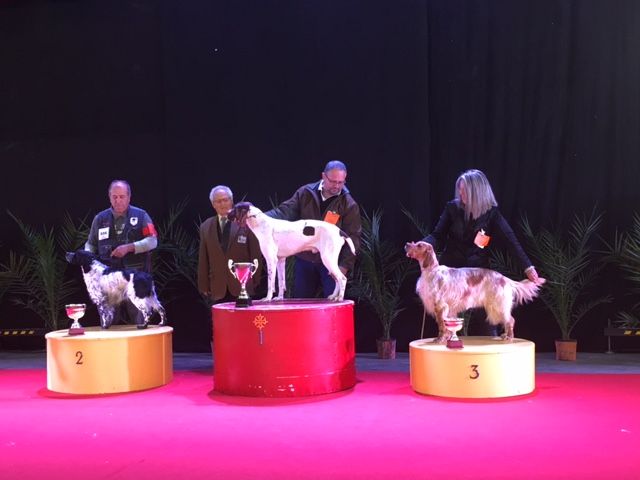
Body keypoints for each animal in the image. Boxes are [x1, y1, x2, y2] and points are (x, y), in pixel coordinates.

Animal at [228, 202, 356, 300]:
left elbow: (270, 283)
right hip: (330, 262)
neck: (261, 223)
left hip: (327, 260)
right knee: (337, 280)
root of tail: (339, 231)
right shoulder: (280, 261)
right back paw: (333, 296)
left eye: (235, 208)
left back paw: (340, 298)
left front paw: (267, 298)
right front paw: (279, 298)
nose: (227, 213)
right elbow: (281, 282)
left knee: (342, 279)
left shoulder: (271, 260)